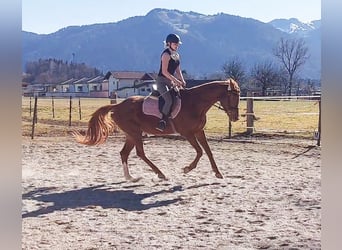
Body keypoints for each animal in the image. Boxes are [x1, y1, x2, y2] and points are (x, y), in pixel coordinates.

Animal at [74, 79, 240, 181]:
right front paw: (187, 169)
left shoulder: (199, 131)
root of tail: (118, 106)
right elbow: (199, 151)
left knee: (124, 153)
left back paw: (131, 178)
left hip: (131, 134)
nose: (235, 117)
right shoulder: (187, 133)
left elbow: (208, 151)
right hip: (135, 133)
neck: (195, 103)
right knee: (140, 153)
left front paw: (218, 173)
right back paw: (160, 174)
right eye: (232, 97)